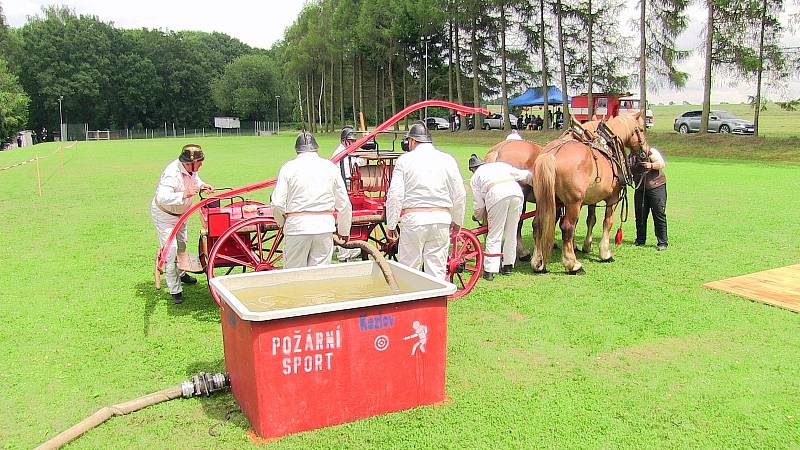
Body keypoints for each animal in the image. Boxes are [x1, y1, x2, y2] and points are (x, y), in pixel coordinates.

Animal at [532, 113, 648, 274]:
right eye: (642, 129)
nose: (646, 152)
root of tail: (551, 154)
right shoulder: (612, 198)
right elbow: (607, 222)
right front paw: (605, 253)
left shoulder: (592, 198)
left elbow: (591, 219)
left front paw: (587, 245)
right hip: (573, 202)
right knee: (567, 227)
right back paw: (573, 264)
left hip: (544, 199)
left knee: (538, 224)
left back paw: (538, 262)